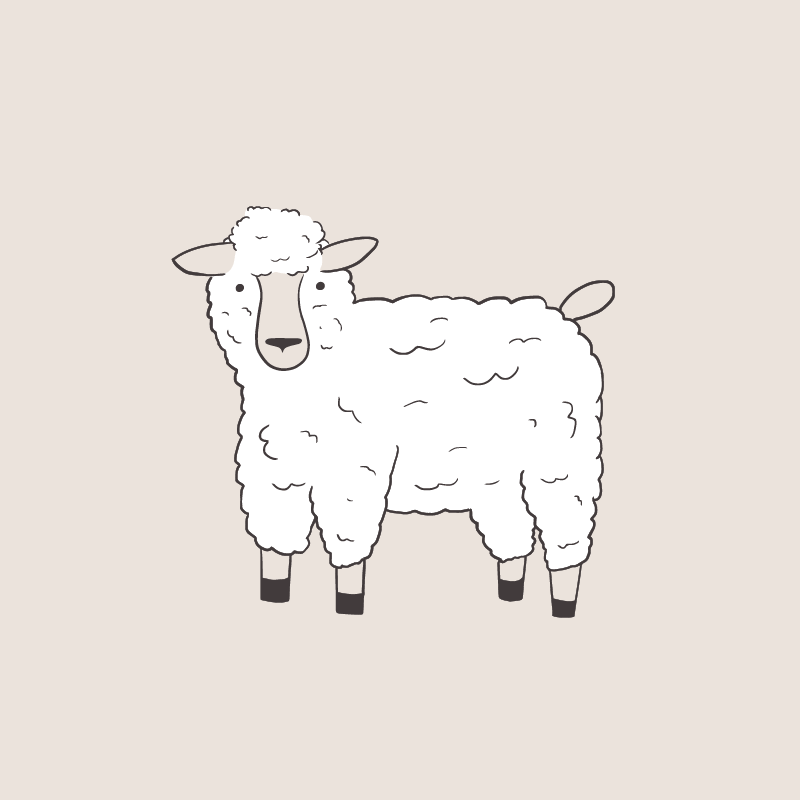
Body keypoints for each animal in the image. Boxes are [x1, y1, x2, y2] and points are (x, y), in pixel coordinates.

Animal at [172, 206, 614, 617]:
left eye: (317, 281)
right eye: (240, 284)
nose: (283, 343)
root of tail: (562, 315)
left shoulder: (353, 468)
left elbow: (348, 540)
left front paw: (349, 603)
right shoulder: (275, 471)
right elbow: (277, 542)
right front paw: (274, 596)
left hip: (562, 454)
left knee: (566, 533)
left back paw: (563, 604)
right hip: (497, 469)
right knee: (514, 530)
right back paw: (511, 591)